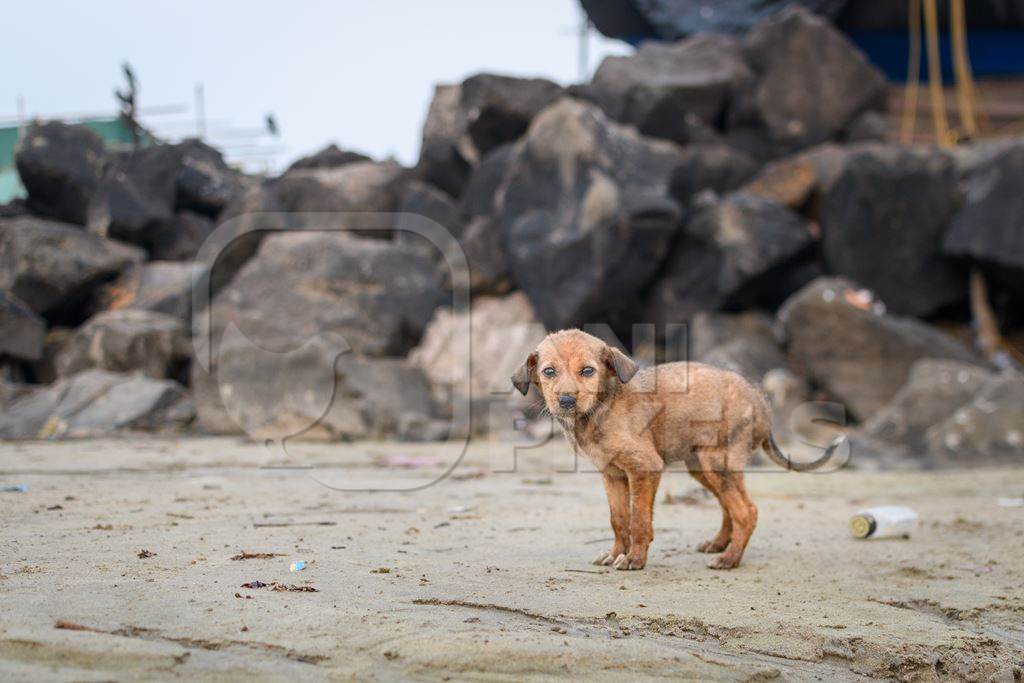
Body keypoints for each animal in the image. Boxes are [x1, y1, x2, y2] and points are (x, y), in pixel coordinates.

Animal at [512, 327, 839, 569]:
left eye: (588, 371)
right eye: (549, 372)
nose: (567, 401)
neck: (601, 407)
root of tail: (760, 399)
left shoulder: (645, 468)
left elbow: (639, 520)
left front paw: (634, 558)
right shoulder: (612, 475)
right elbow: (618, 519)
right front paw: (615, 553)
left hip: (716, 462)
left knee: (747, 511)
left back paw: (730, 559)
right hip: (704, 467)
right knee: (730, 507)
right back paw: (719, 544)